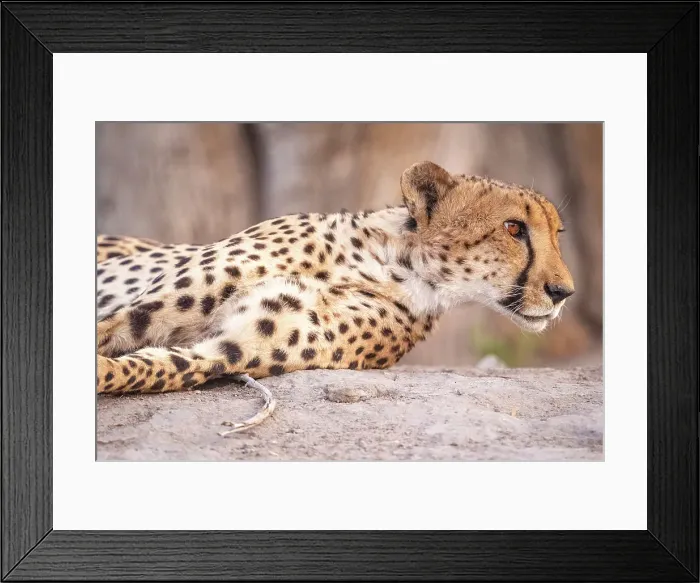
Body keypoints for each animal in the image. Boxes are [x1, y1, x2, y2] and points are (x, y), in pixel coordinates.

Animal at [96, 161, 574, 430]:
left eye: (558, 233)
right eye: (514, 228)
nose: (564, 292)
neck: (390, 261)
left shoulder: (228, 349)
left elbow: (150, 367)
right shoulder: (139, 310)